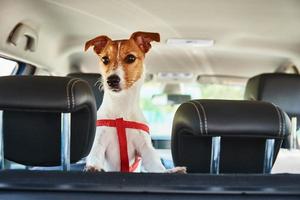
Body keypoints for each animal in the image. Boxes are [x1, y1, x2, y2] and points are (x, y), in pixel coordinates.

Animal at [84, 31, 186, 173]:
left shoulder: (145, 148)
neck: (121, 105)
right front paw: (93, 167)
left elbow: (156, 166)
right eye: (105, 59)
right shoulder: (98, 142)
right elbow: (94, 156)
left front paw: (170, 171)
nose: (111, 80)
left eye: (131, 58)